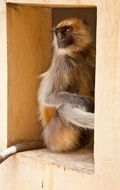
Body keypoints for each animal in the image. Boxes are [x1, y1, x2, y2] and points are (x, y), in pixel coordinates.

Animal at [0, 17, 95, 164]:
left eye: (67, 30)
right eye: (58, 33)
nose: (60, 37)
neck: (77, 54)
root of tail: (46, 138)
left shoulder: (91, 54)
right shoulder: (62, 61)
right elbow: (48, 97)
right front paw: (87, 103)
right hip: (55, 136)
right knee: (63, 109)